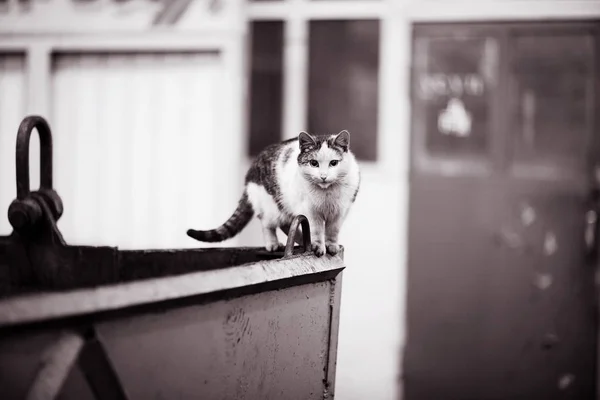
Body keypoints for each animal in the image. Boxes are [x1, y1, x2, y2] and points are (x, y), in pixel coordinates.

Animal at [185, 130, 358, 258]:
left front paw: (331, 245)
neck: (327, 193)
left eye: (333, 163)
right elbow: (316, 230)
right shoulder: (310, 211)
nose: (323, 176)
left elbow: (333, 230)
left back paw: (301, 241)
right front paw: (318, 246)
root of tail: (250, 172)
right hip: (271, 206)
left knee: (286, 224)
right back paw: (274, 244)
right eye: (313, 163)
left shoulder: (341, 211)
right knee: (268, 224)